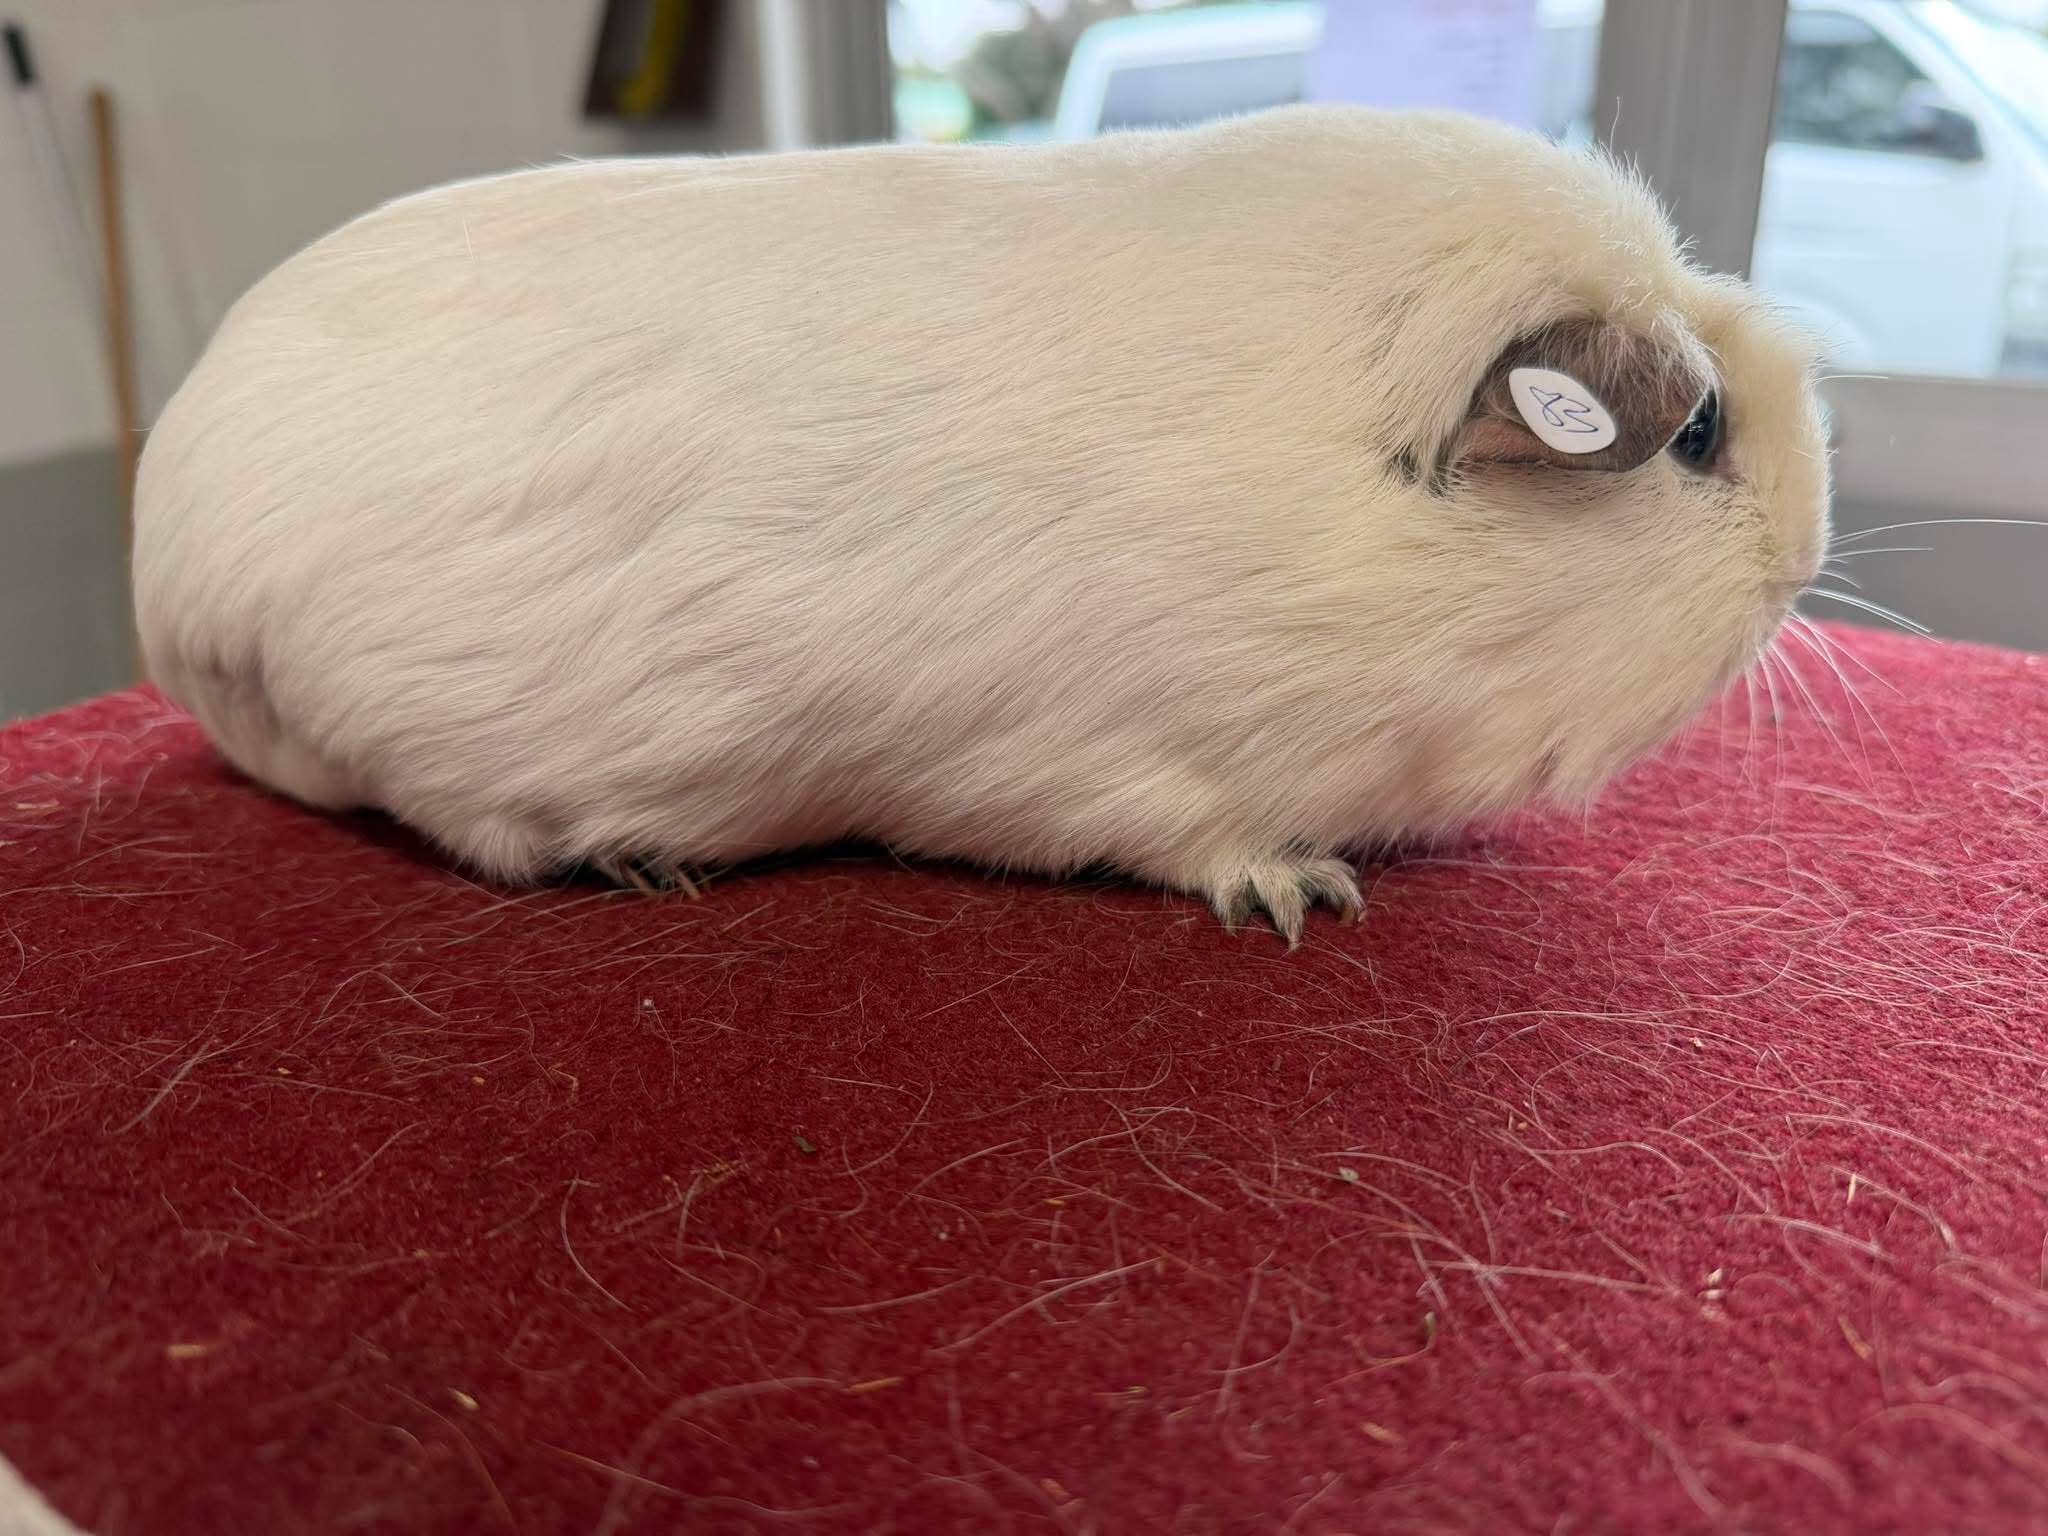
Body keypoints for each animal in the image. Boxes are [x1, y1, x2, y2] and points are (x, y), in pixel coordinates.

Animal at [132, 105, 1828, 945]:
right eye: (1696, 433)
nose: (1808, 554)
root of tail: (176, 561)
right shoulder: (1121, 768)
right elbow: (1206, 842)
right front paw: (1302, 901)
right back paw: (638, 866)